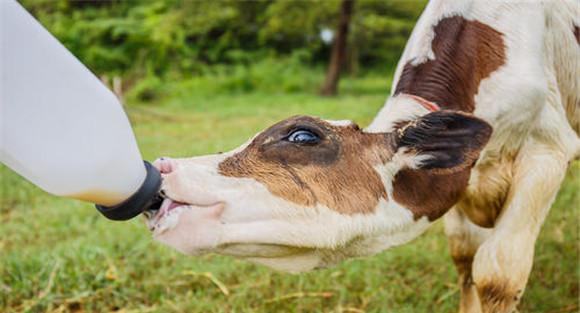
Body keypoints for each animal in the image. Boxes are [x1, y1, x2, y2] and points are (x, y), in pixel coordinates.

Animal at [147, 1, 576, 310]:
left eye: (302, 135)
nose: (164, 167)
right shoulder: (461, 180)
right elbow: (465, 259)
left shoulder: (548, 151)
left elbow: (497, 275)